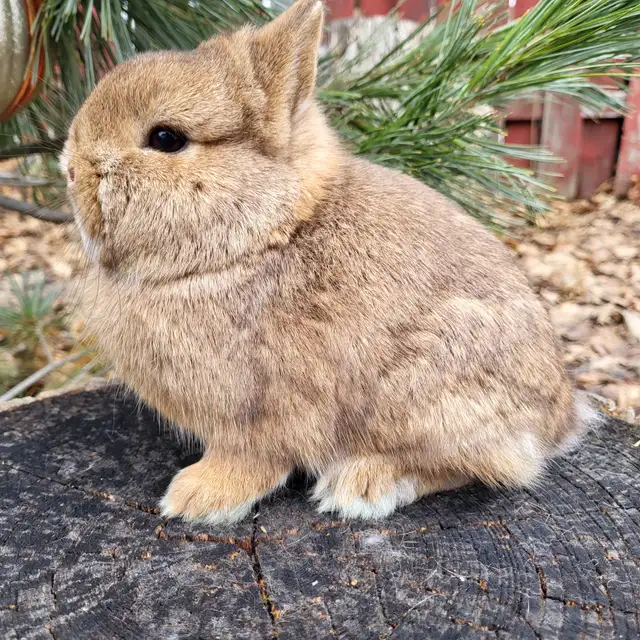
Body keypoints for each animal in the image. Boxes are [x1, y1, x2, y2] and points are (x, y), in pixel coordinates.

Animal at [61, 0, 597, 524]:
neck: (261, 236)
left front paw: (196, 499)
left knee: (480, 466)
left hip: (427, 393)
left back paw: (361, 487)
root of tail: (561, 420)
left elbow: (250, 459)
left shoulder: (256, 416)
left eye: (166, 138)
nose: (70, 168)